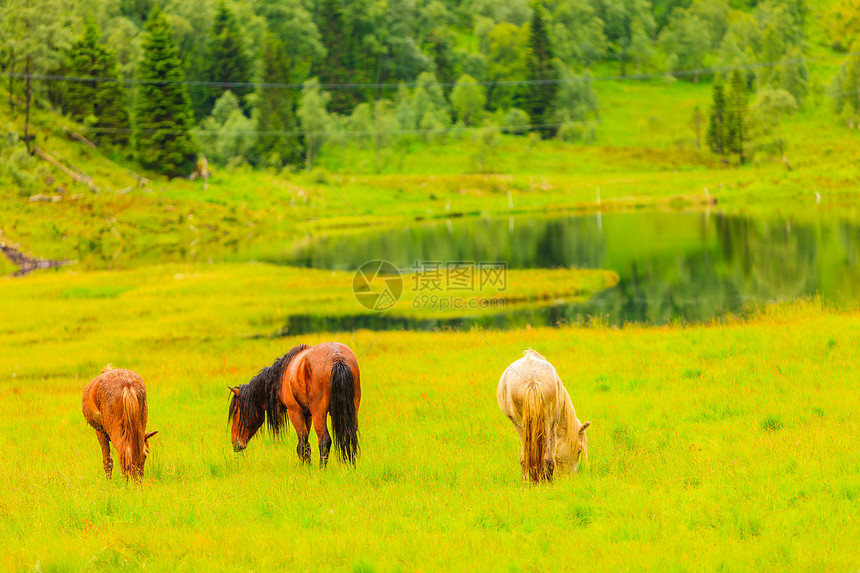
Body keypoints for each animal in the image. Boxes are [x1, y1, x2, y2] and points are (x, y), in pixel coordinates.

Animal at [228, 340, 360, 464]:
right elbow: (305, 444)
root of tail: (337, 358)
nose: (234, 443)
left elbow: (302, 445)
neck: (282, 375)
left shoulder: (295, 413)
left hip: (319, 413)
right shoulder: (307, 416)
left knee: (324, 441)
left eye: (235, 411)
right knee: (350, 436)